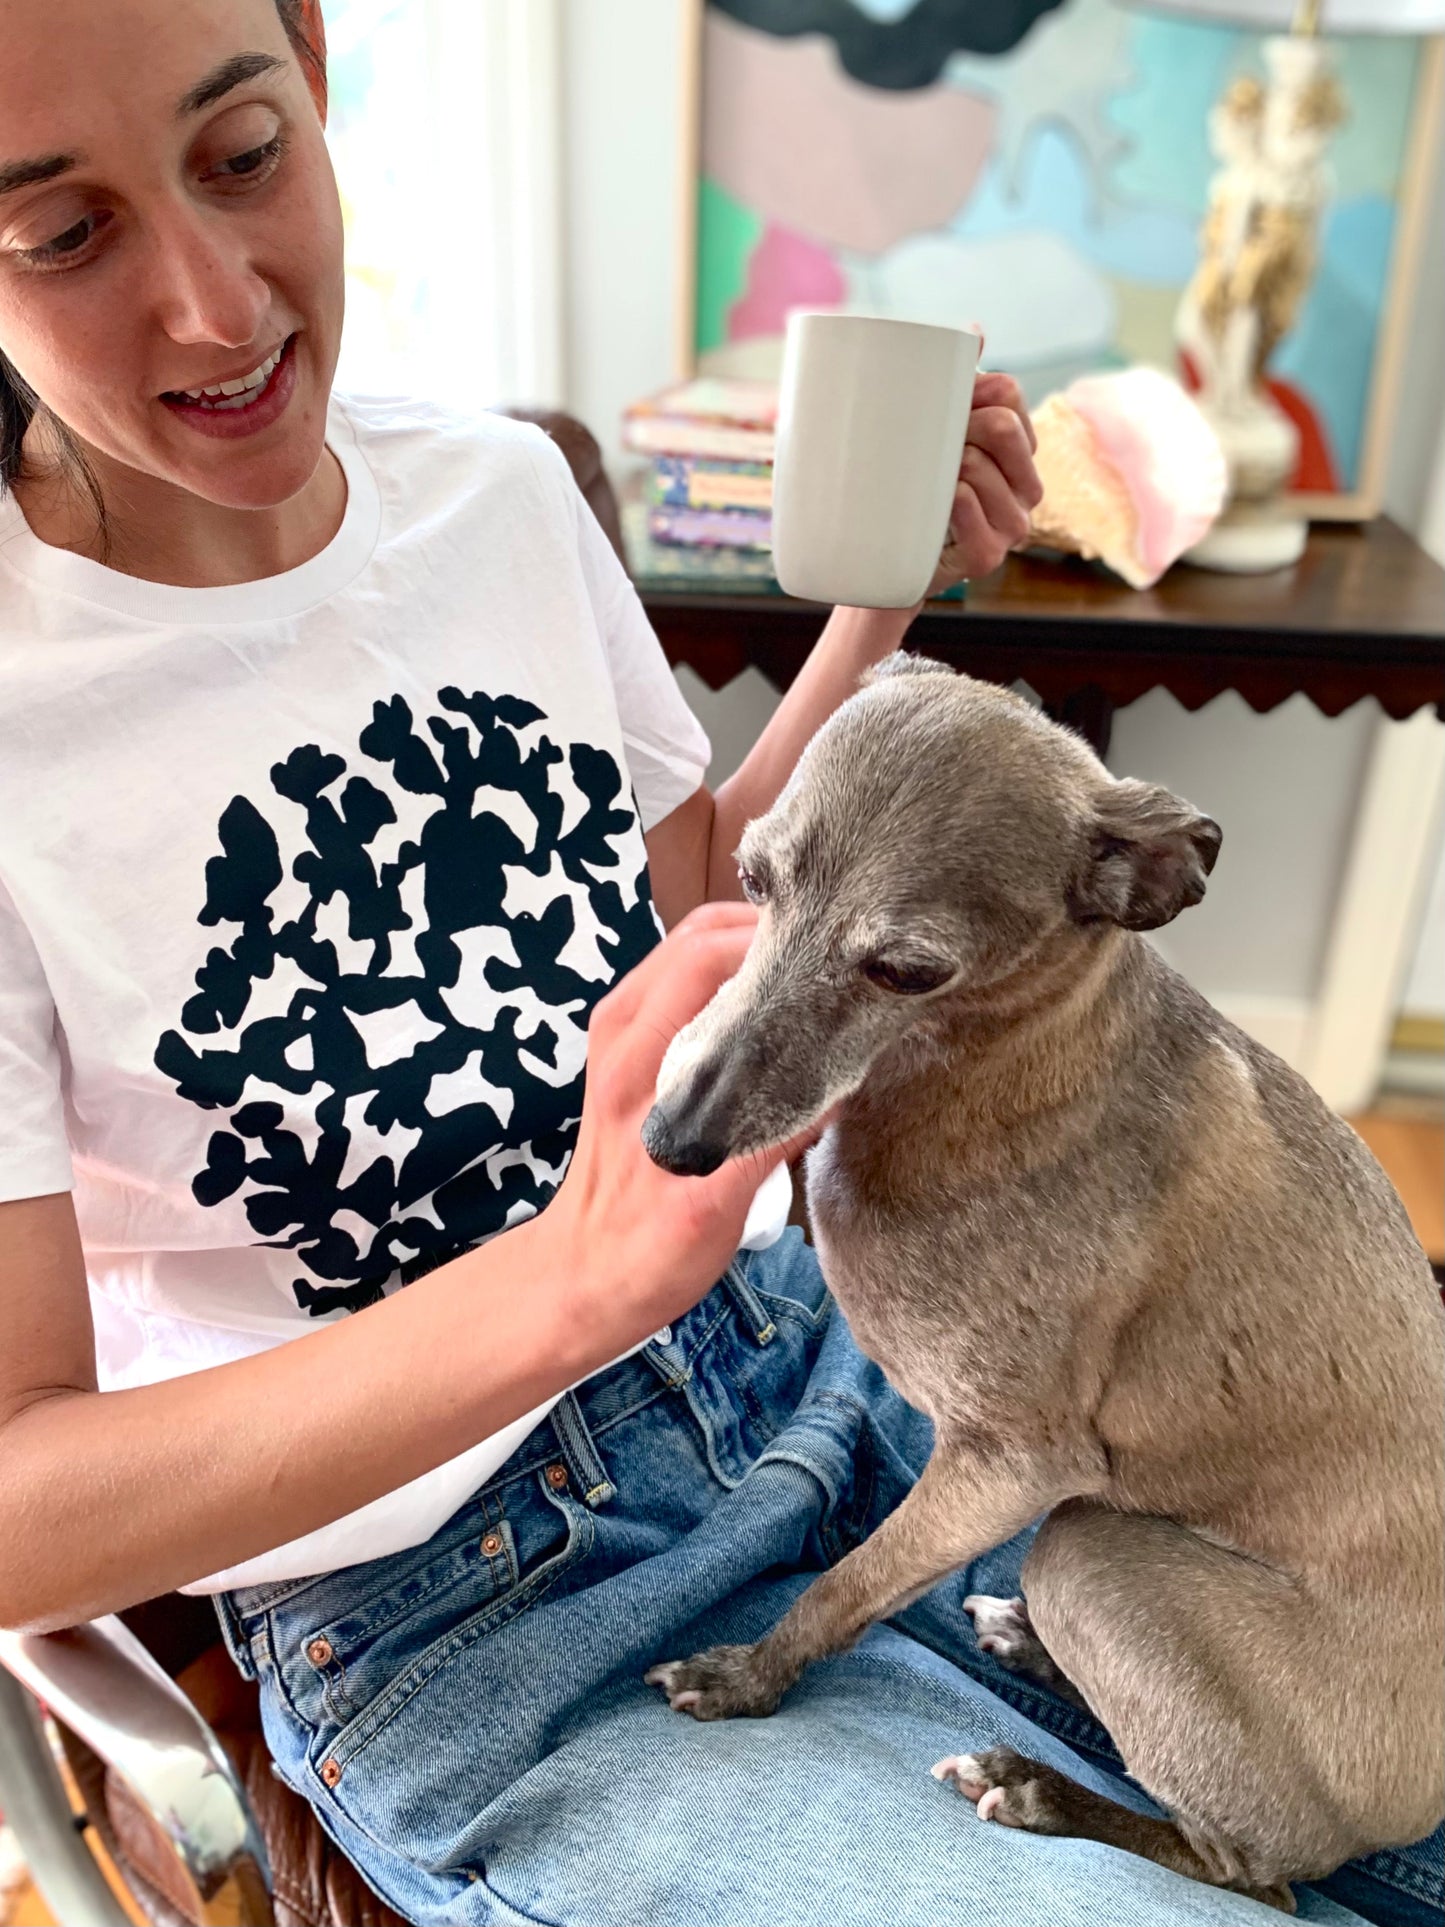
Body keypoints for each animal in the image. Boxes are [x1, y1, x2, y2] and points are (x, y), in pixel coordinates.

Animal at [643, 659, 1445, 1911]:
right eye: (750, 878)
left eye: (904, 970)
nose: (671, 1143)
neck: (991, 1074)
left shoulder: (1009, 1465)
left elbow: (846, 1584)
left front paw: (749, 1675)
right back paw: (1030, 1646)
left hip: (1084, 1545)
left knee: (1250, 1870)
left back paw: (1037, 1787)